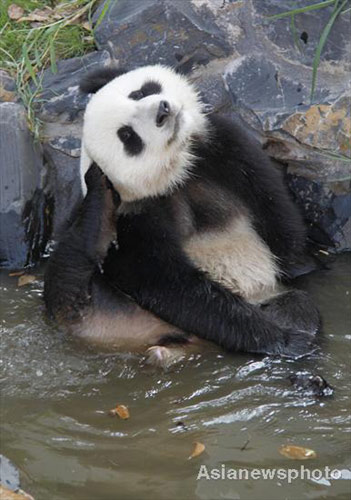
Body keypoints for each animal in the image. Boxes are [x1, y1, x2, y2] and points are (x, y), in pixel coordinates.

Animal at [42, 64, 320, 366]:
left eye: (139, 92)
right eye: (127, 136)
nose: (163, 111)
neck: (178, 172)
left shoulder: (226, 149)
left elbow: (279, 219)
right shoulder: (134, 219)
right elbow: (172, 285)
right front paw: (282, 340)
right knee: (68, 276)